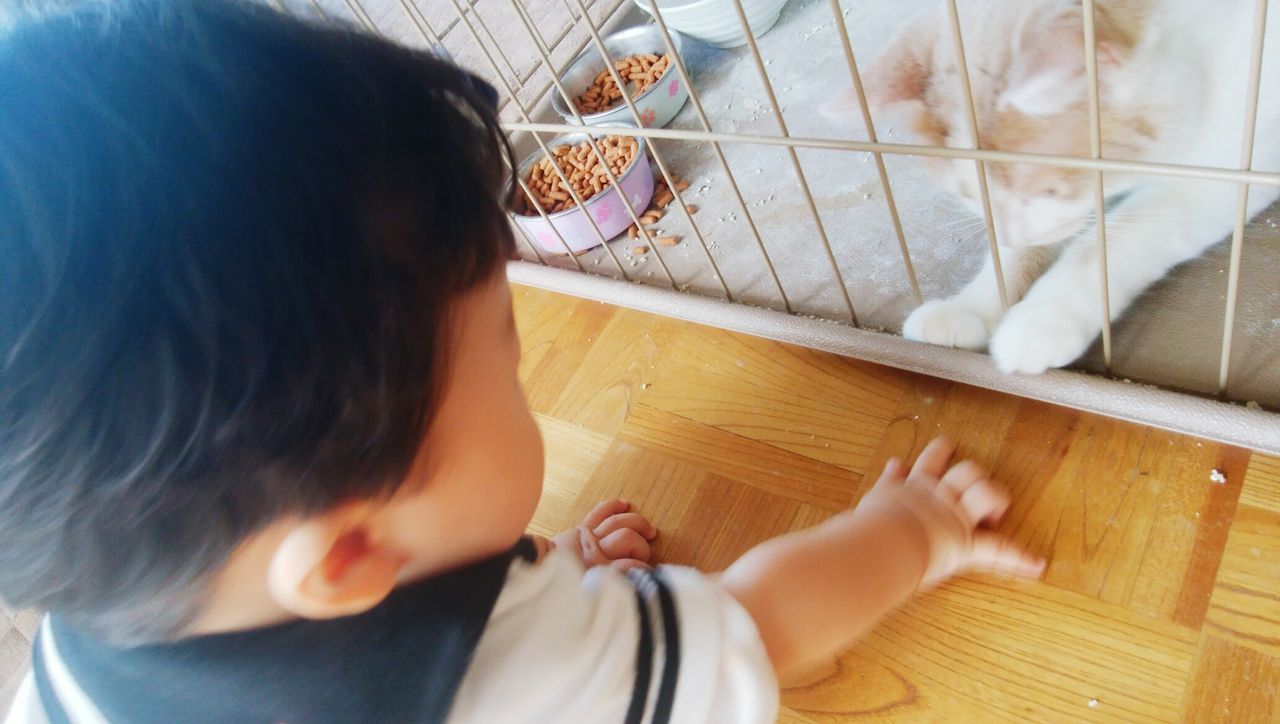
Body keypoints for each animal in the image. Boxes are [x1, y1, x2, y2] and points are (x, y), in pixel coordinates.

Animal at [829, 0, 1280, 373]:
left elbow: (1113, 242)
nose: (1014, 235)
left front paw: (1040, 320)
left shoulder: (1222, 172)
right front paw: (972, 306)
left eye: (1050, 191)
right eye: (968, 195)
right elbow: (1013, 255)